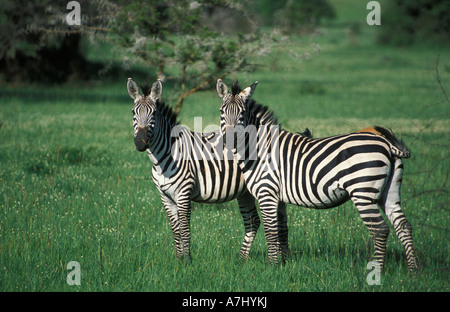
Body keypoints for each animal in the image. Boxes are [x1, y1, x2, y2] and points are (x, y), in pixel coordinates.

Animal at [127, 78, 260, 264]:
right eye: (133, 112)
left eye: (153, 114)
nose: (140, 142)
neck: (164, 157)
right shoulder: (165, 196)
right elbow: (175, 229)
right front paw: (178, 259)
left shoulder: (184, 193)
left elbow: (184, 228)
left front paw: (187, 261)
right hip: (244, 192)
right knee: (253, 220)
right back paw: (241, 258)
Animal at [215, 79, 418, 272]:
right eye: (222, 112)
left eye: (242, 113)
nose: (229, 140)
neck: (260, 147)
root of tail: (387, 144)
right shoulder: (279, 197)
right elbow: (282, 229)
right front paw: (284, 264)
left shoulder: (267, 192)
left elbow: (271, 230)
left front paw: (271, 266)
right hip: (389, 192)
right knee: (403, 225)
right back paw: (414, 270)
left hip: (363, 192)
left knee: (380, 230)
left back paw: (378, 269)